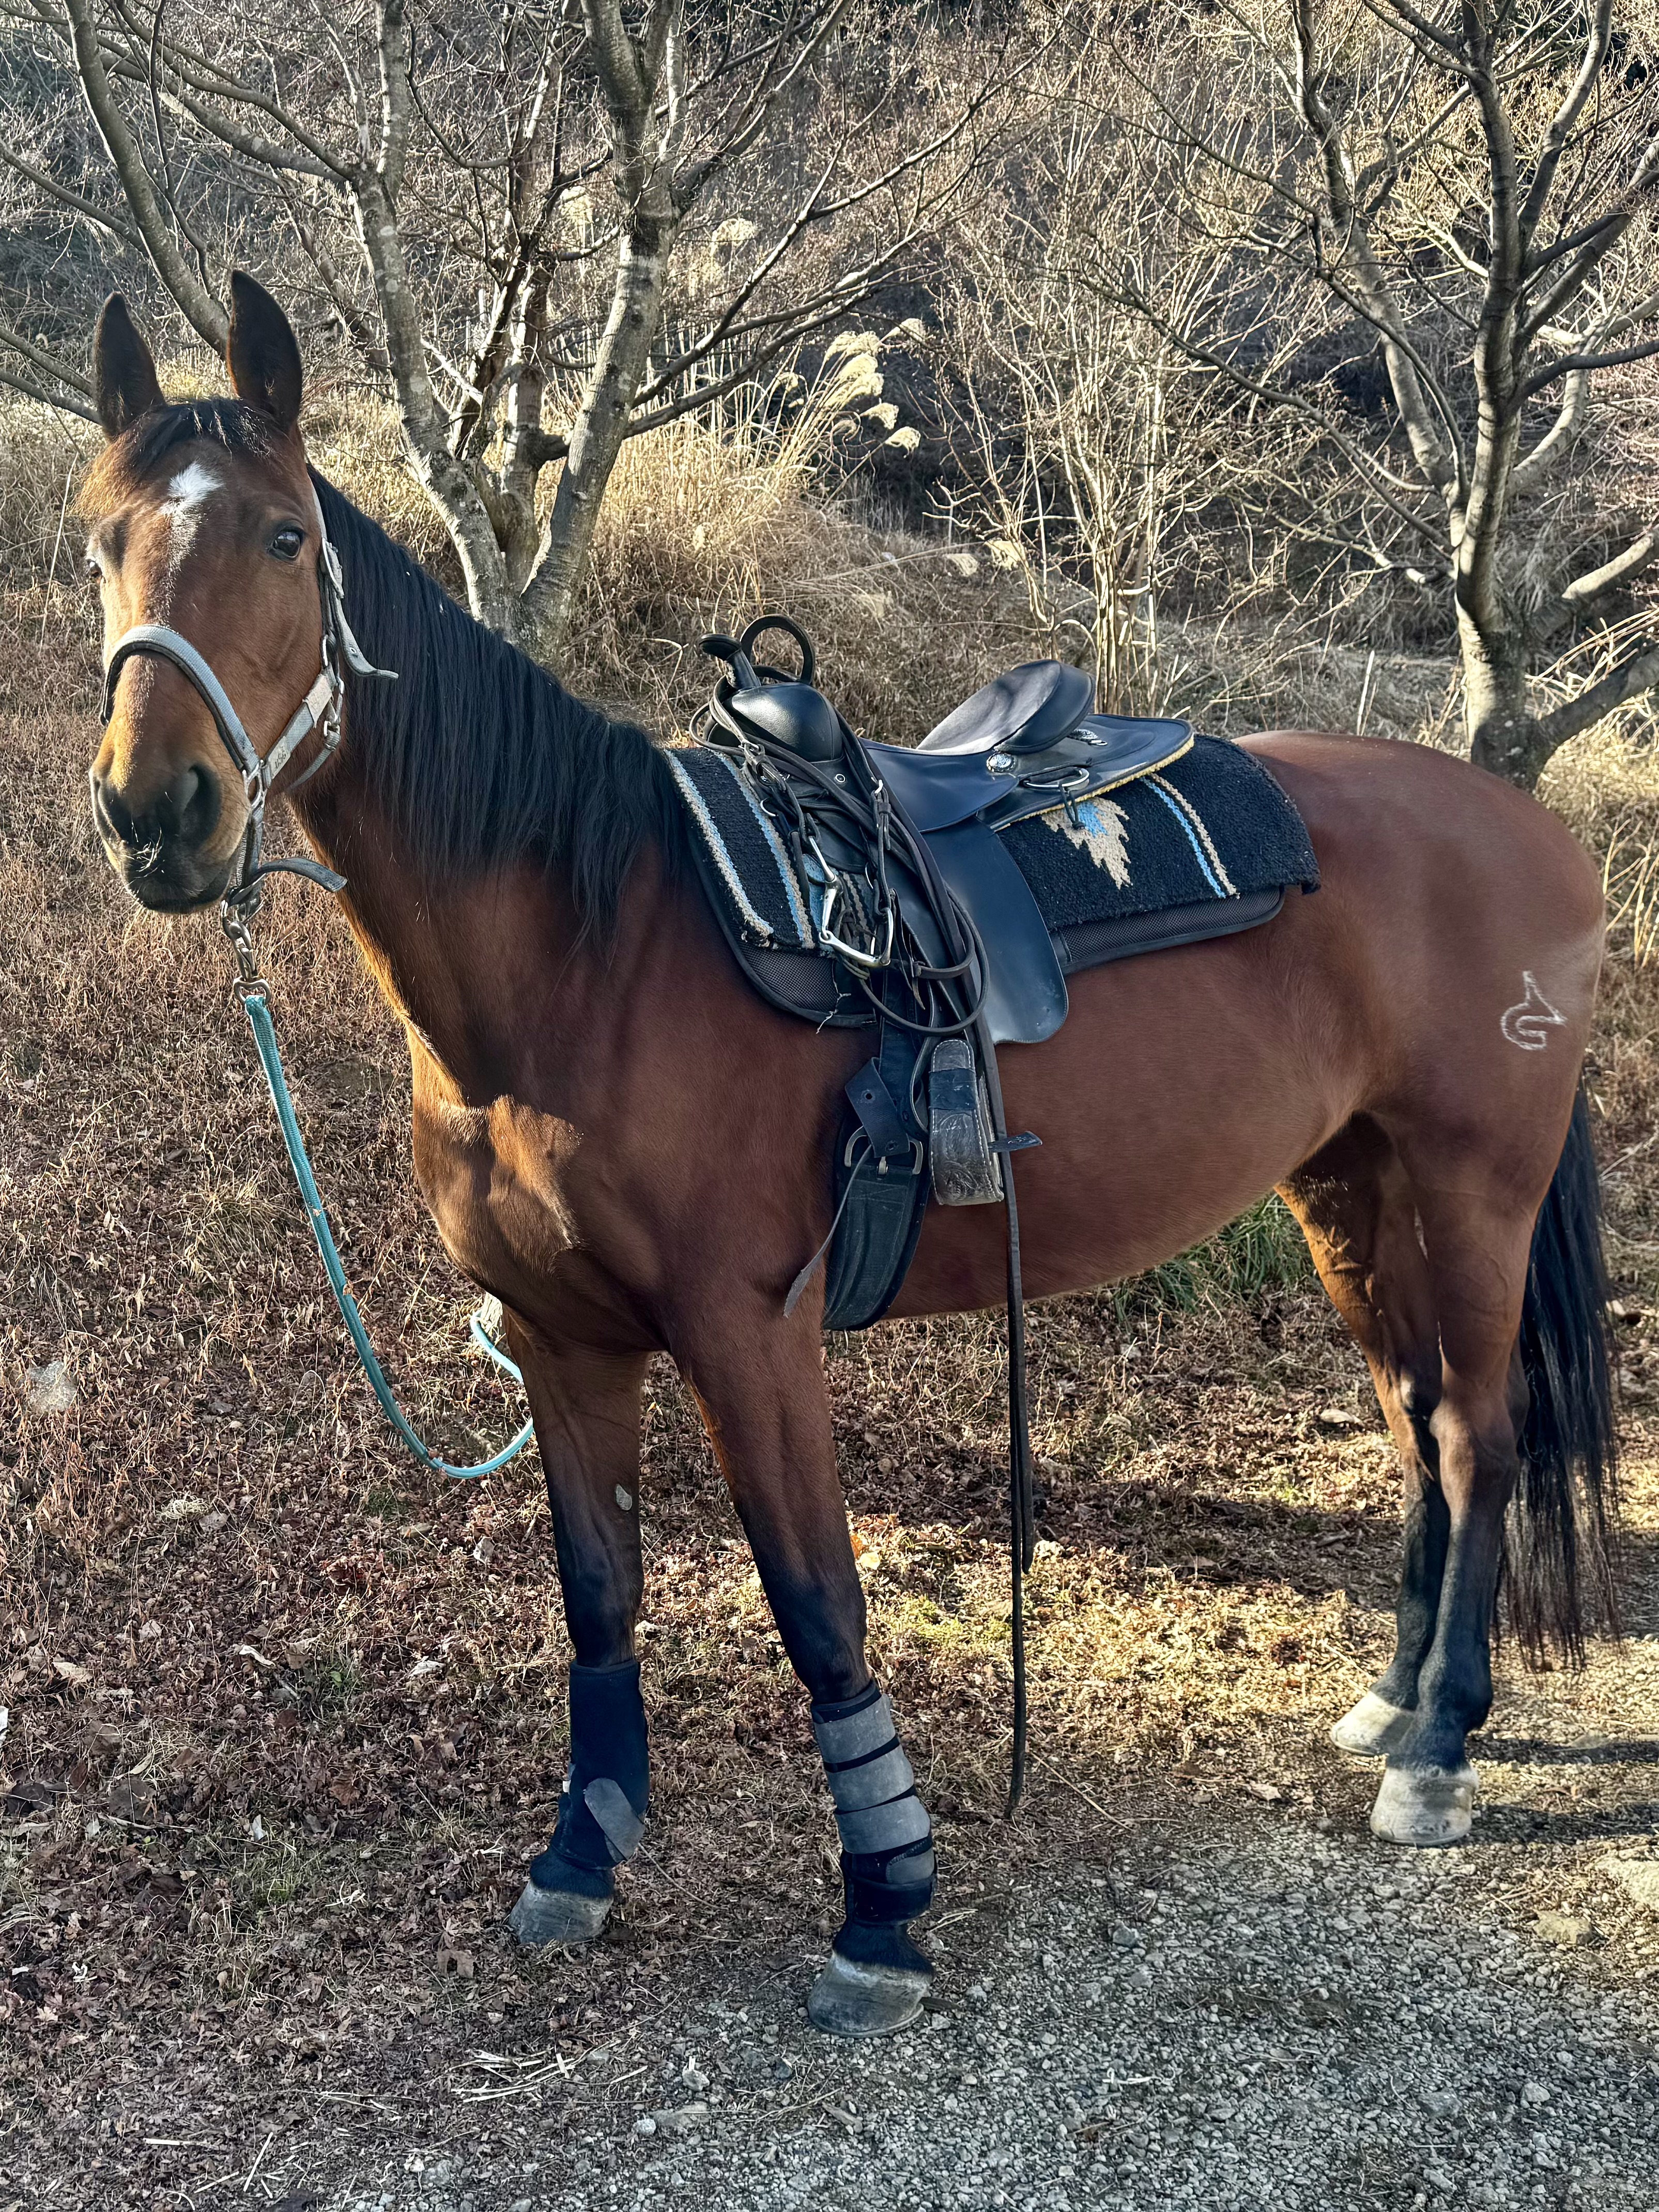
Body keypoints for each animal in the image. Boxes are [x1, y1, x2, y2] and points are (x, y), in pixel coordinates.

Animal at [79, 274, 1618, 2038]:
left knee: (1482, 1436)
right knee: (1418, 1420)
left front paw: (882, 1908)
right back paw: (1391, 1704)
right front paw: (582, 1848)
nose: (156, 813)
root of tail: (1529, 830)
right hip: (1344, 1192)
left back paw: (1439, 1748)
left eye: (280, 537)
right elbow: (597, 1596)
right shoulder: (562, 1339)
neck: (592, 949)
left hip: (1471, 1191)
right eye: (100, 539)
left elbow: (818, 1609)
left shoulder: (748, 1335)